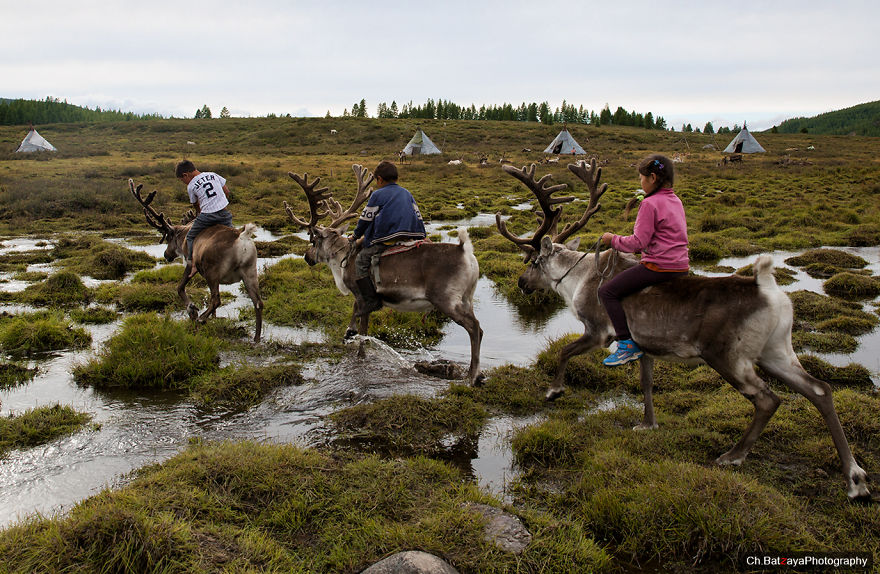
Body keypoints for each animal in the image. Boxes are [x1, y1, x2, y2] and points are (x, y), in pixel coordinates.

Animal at [128, 179, 263, 342]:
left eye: (168, 237)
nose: (166, 255)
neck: (184, 234)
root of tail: (242, 237)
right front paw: (210, 316)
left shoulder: (190, 263)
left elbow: (179, 288)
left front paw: (192, 309)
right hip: (250, 271)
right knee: (258, 303)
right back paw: (256, 338)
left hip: (213, 273)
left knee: (216, 299)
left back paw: (201, 318)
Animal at [283, 164, 484, 386]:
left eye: (312, 240)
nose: (306, 257)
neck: (343, 258)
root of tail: (465, 251)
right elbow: (359, 319)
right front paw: (351, 337)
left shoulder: (361, 293)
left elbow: (360, 323)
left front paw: (355, 344)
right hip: (467, 298)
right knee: (478, 328)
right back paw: (474, 373)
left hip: (446, 299)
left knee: (474, 327)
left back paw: (473, 376)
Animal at [495, 160, 871, 501]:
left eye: (531, 261)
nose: (521, 283)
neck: (577, 276)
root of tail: (768, 290)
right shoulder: (642, 344)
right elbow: (646, 382)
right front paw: (648, 424)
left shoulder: (599, 331)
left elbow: (563, 352)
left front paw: (553, 391)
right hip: (776, 351)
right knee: (820, 391)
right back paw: (855, 479)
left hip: (727, 356)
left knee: (768, 399)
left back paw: (733, 456)